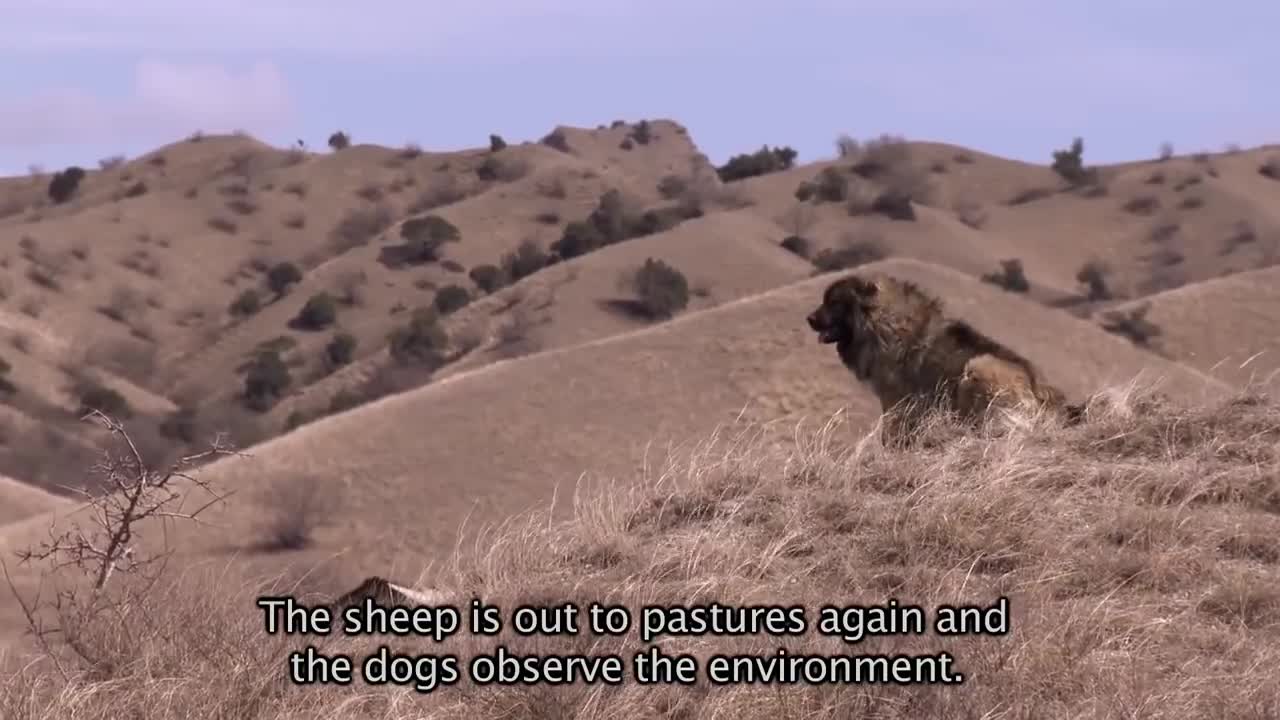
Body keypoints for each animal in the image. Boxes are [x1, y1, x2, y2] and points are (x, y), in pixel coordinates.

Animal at [808, 271, 1080, 445]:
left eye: (834, 303)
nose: (809, 319)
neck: (884, 322)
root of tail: (1041, 393)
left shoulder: (896, 402)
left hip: (977, 366)